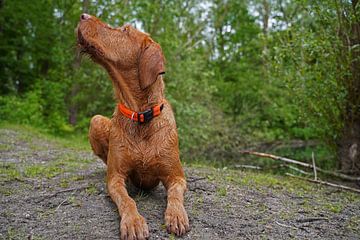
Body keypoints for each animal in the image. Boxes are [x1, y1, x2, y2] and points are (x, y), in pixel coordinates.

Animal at [77, 14, 190, 239]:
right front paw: (134, 222)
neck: (141, 116)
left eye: (124, 31)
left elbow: (174, 196)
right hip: (96, 120)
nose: (83, 15)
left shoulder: (177, 177)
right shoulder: (115, 178)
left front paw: (176, 215)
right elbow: (127, 200)